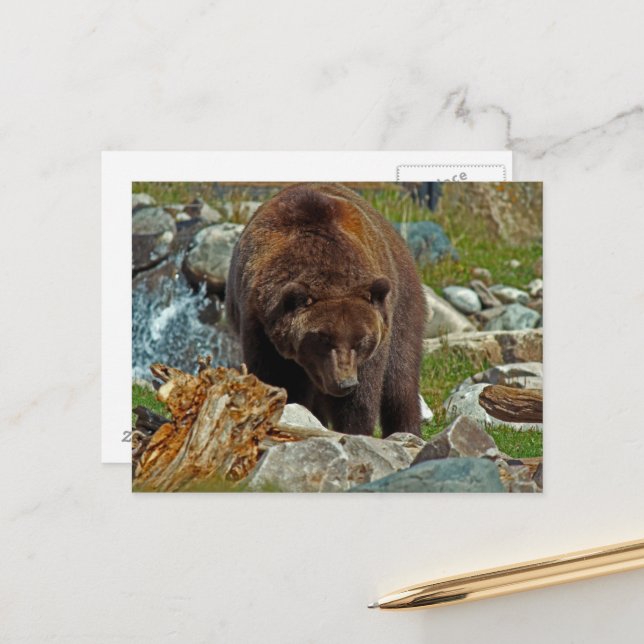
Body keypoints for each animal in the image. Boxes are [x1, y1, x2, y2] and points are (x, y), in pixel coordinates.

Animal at [225, 183, 426, 437]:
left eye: (362, 340)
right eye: (323, 338)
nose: (345, 383)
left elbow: (361, 398)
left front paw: (354, 430)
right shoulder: (259, 323)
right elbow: (275, 377)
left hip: (402, 303)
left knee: (401, 377)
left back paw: (407, 430)